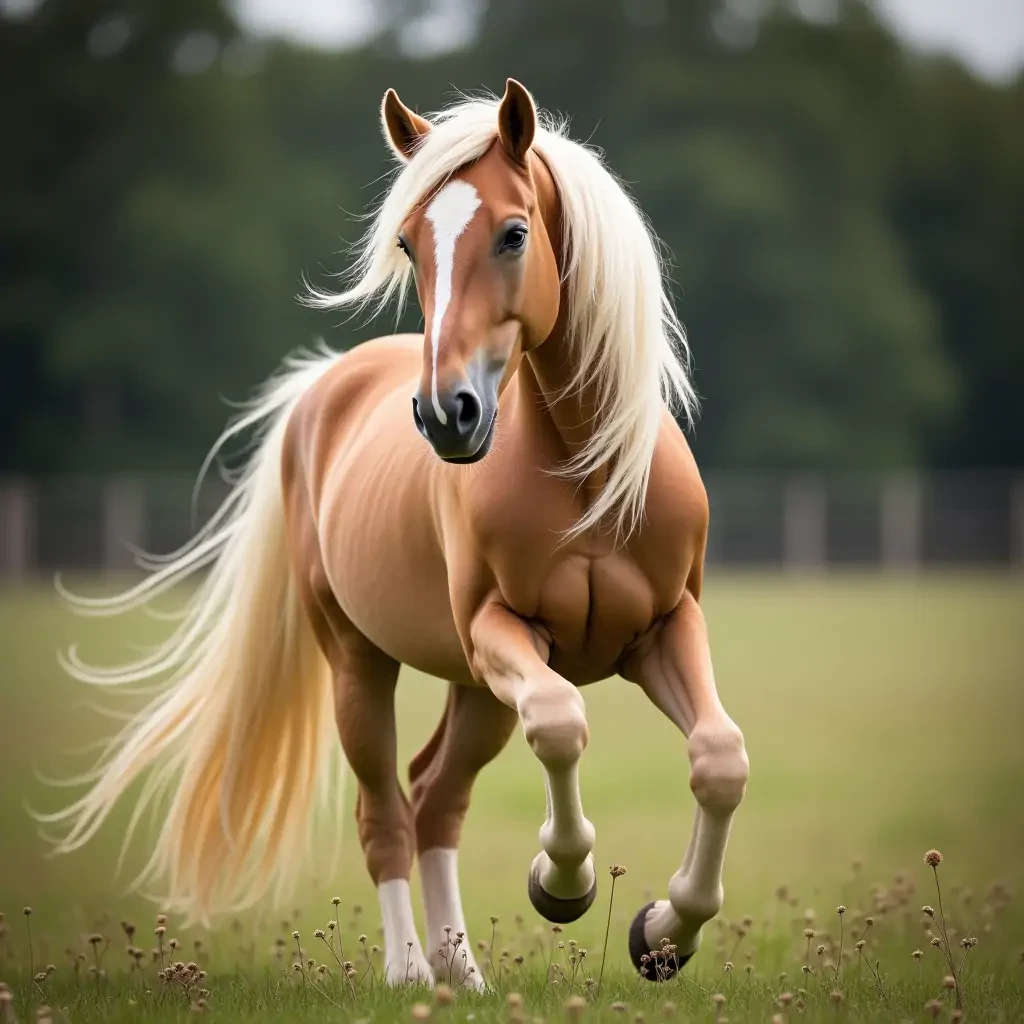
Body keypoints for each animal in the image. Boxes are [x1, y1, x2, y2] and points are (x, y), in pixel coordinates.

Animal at [47, 80, 749, 987]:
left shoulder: (665, 627)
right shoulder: (504, 634)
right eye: (411, 246)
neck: (588, 472)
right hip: (365, 664)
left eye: (515, 233)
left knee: (435, 798)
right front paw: (564, 882)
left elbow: (720, 758)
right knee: (386, 808)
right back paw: (412, 971)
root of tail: (324, 389)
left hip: (474, 690)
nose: (446, 414)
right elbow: (561, 722)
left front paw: (665, 931)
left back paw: (465, 976)